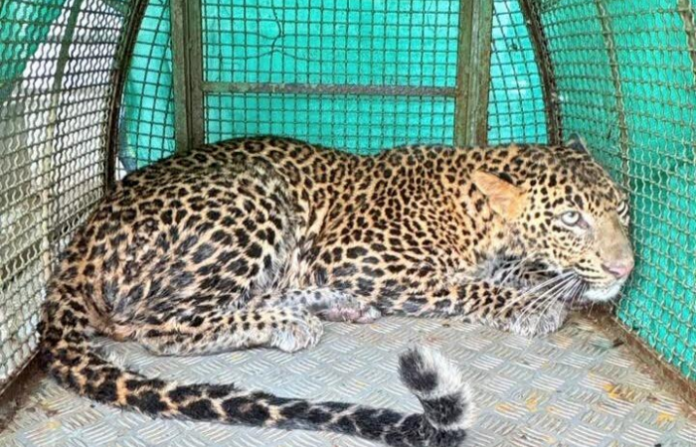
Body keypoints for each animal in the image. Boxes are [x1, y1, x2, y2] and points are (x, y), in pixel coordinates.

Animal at [39, 135, 633, 447]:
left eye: (623, 208)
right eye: (571, 218)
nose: (625, 266)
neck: (476, 214)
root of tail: (78, 245)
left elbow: (510, 270)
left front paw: (552, 284)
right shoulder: (357, 260)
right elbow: (464, 287)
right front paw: (531, 305)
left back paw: (328, 306)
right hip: (255, 194)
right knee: (161, 326)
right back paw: (288, 323)